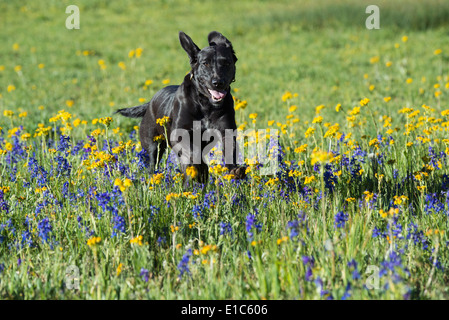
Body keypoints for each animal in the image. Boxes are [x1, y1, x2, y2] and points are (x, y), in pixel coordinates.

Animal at [114, 31, 243, 185]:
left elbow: (229, 149)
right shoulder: (179, 135)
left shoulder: (227, 130)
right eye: (205, 63)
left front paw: (234, 170)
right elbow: (193, 152)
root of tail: (150, 102)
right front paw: (198, 167)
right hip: (152, 145)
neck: (206, 104)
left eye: (226, 63)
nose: (218, 82)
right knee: (153, 164)